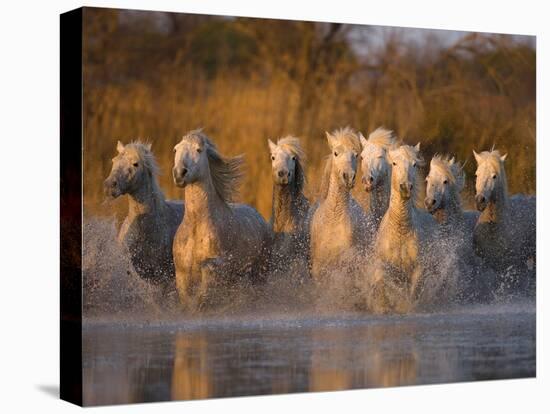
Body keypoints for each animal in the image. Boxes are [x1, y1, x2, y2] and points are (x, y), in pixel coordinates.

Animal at [172, 129, 272, 308]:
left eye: (198, 150)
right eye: (175, 149)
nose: (179, 174)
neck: (197, 225)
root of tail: (259, 216)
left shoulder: (213, 270)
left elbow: (201, 299)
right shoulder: (181, 275)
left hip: (260, 272)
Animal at [370, 144, 440, 312]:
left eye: (414, 164)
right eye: (394, 163)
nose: (406, 187)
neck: (400, 229)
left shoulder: (418, 269)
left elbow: (413, 293)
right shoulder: (384, 264)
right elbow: (382, 280)